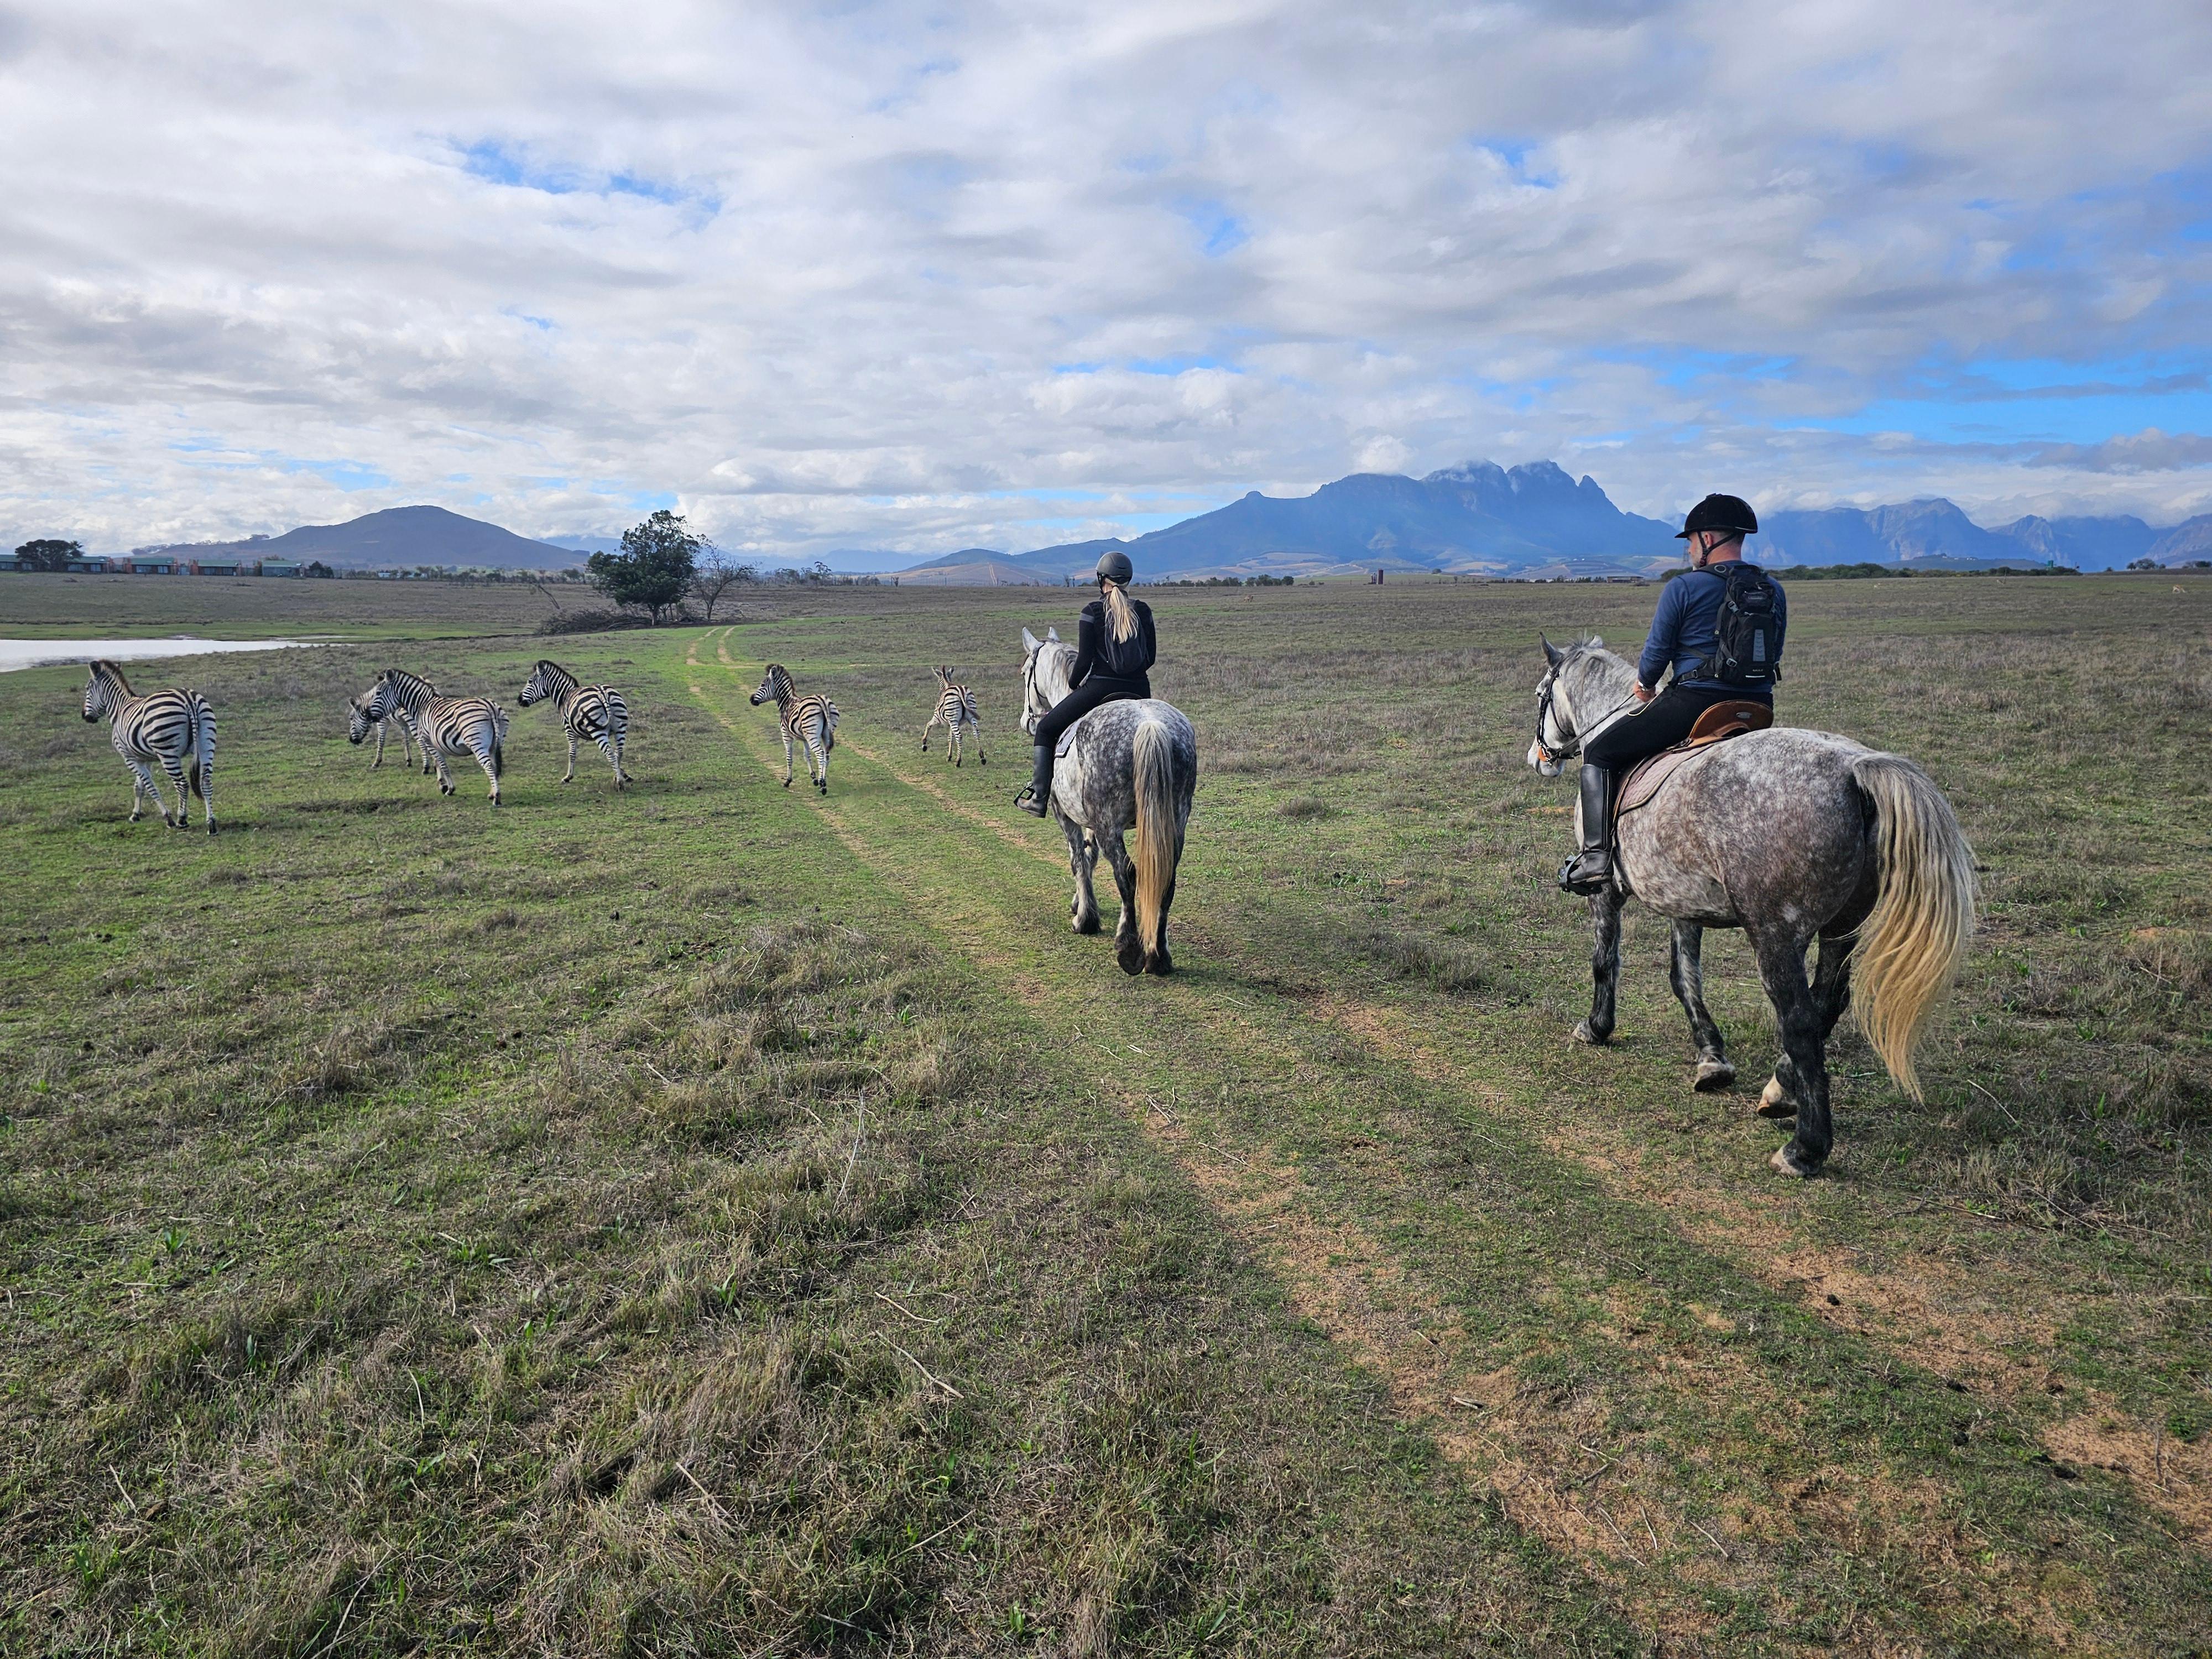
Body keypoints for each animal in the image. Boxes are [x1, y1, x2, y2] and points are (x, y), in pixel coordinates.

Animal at [1019, 626, 1198, 976]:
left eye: (1024, 673)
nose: (1027, 721)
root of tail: (1150, 725)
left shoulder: (1067, 816)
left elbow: (1077, 858)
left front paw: (1085, 919)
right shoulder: (1090, 820)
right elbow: (1090, 858)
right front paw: (1080, 904)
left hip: (1110, 825)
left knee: (1127, 874)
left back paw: (1129, 949)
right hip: (1174, 821)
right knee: (1165, 879)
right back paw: (1160, 956)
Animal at [1528, 637, 1976, 1176]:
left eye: (1540, 695)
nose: (1538, 758)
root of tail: (1855, 771)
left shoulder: (1606, 893)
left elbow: (1605, 960)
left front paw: (1597, 1027)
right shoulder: (1682, 898)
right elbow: (1685, 977)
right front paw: (1711, 1057)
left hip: (1774, 935)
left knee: (1800, 1020)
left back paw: (1805, 1148)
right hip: (1843, 927)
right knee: (1828, 1002)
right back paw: (1782, 1091)